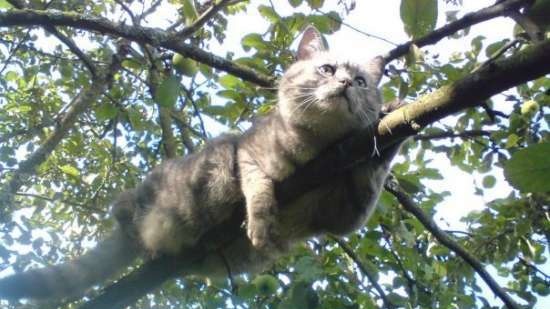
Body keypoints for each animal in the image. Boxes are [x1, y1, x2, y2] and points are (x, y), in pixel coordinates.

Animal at [0, 25, 398, 300]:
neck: (317, 148)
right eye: (327, 69)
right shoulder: (244, 150)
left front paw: (391, 118)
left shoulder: (345, 212)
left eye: (361, 81)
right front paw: (260, 218)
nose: (345, 84)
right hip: (194, 176)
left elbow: (372, 175)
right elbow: (258, 184)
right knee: (124, 208)